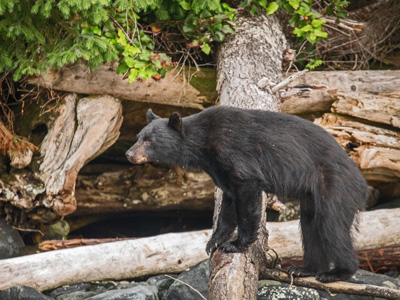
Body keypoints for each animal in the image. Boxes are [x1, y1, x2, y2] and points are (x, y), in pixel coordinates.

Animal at [126, 106, 368, 282]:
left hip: (334, 184)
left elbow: (246, 193)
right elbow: (227, 204)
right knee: (309, 225)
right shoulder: (219, 169)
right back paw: (304, 269)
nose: (128, 154)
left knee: (331, 224)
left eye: (150, 140)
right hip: (312, 197)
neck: (203, 144)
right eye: (139, 136)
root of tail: (361, 180)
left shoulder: (234, 152)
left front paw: (236, 244)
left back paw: (337, 272)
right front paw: (214, 242)